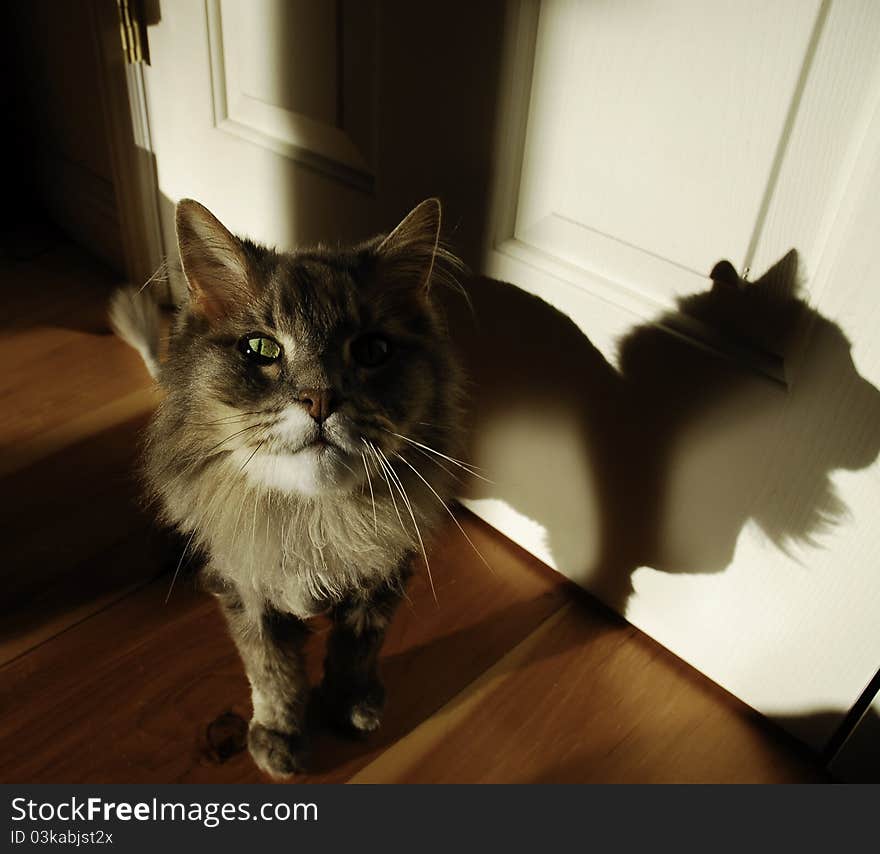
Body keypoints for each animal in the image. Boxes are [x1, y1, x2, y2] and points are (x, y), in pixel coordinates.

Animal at [108, 197, 468, 780]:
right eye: (260, 348)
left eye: (373, 350)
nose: (321, 400)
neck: (314, 521)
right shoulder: (247, 593)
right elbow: (272, 675)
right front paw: (280, 739)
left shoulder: (381, 578)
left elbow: (356, 653)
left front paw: (352, 706)